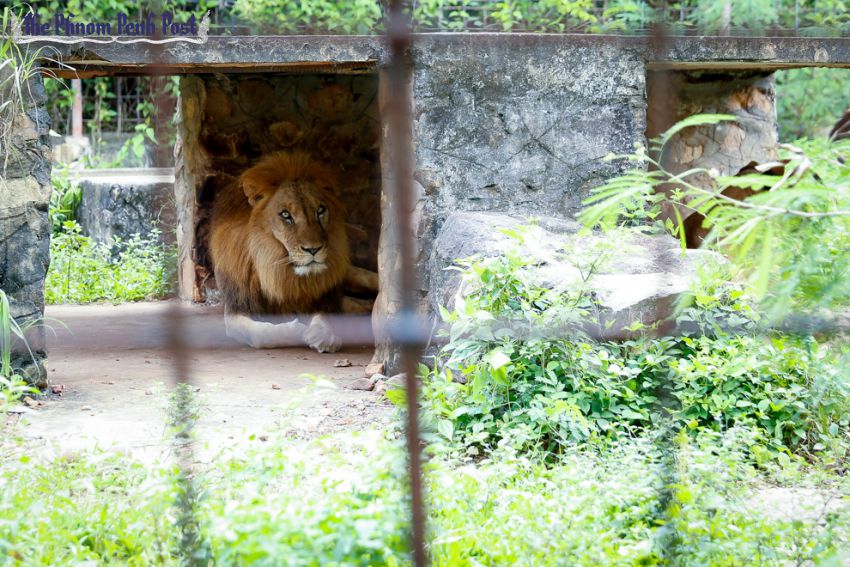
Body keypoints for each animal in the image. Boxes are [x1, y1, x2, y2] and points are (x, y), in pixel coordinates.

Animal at [207, 153, 376, 352]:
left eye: (320, 210)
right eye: (286, 215)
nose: (313, 249)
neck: (277, 270)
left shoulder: (320, 299)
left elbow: (322, 316)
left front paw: (324, 334)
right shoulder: (237, 309)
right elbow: (262, 333)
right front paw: (300, 329)